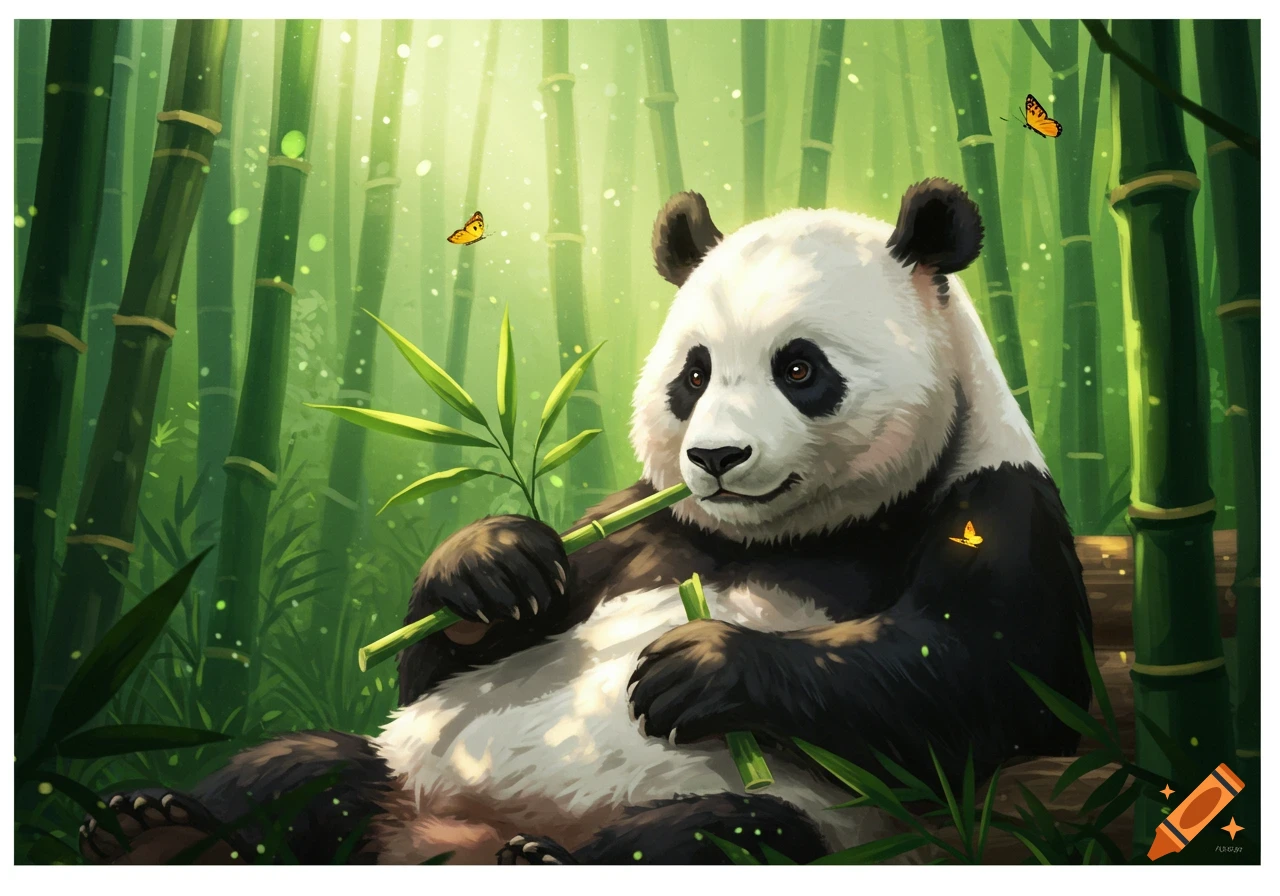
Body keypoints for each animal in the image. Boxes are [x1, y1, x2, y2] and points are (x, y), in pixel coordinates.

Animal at [80, 178, 1092, 865]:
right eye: (694, 372)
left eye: (800, 368)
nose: (716, 459)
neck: (800, 533)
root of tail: (441, 840)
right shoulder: (632, 524)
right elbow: (432, 663)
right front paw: (492, 565)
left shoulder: (995, 498)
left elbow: (987, 684)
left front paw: (699, 667)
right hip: (403, 765)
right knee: (306, 766)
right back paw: (155, 825)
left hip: (799, 818)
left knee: (723, 836)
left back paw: (546, 854)